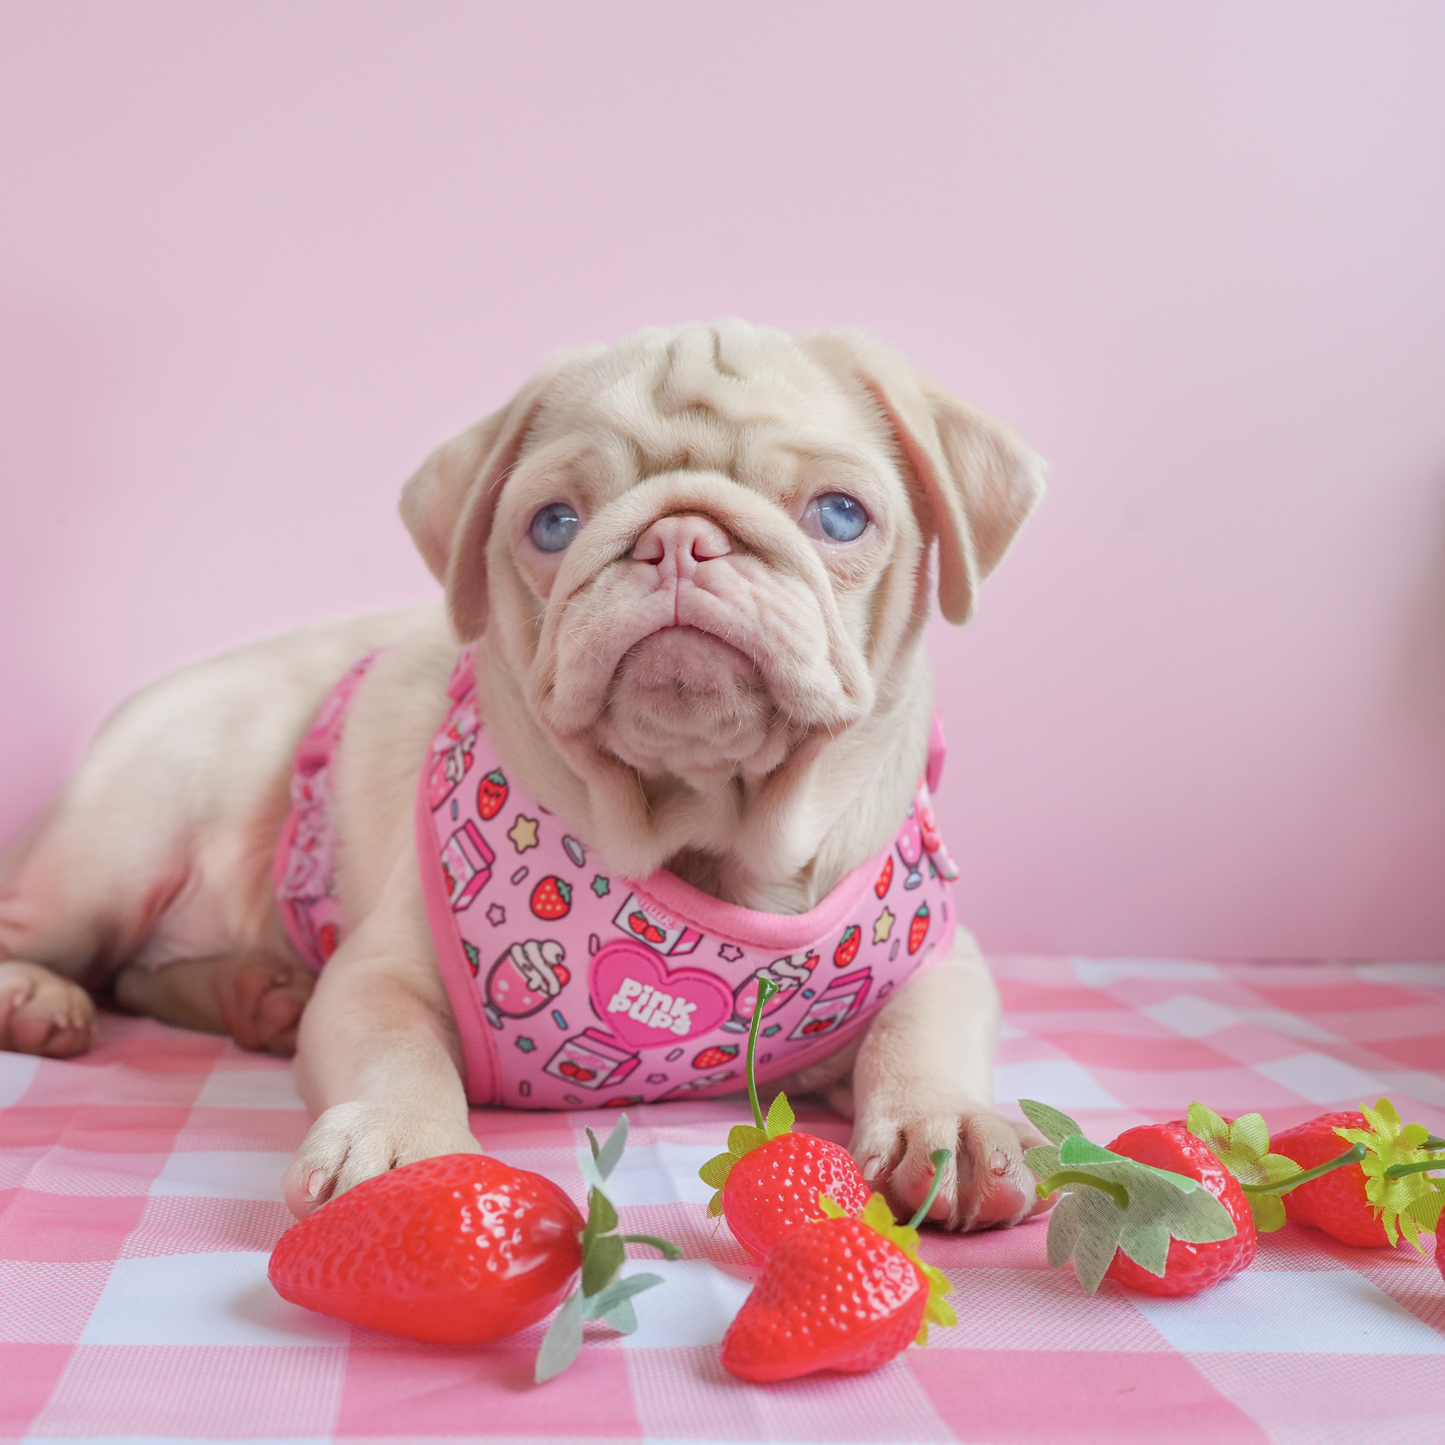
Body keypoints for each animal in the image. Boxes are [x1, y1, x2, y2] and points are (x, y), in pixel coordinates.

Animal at [0, 325, 1046, 1231]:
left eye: (839, 514)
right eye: (553, 524)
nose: (678, 538)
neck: (704, 836)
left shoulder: (942, 961)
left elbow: (921, 1034)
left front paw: (944, 1122)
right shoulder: (375, 980)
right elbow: (401, 1054)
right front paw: (400, 1144)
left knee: (138, 975)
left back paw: (255, 995)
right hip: (117, 845)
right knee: (71, 946)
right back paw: (45, 999)